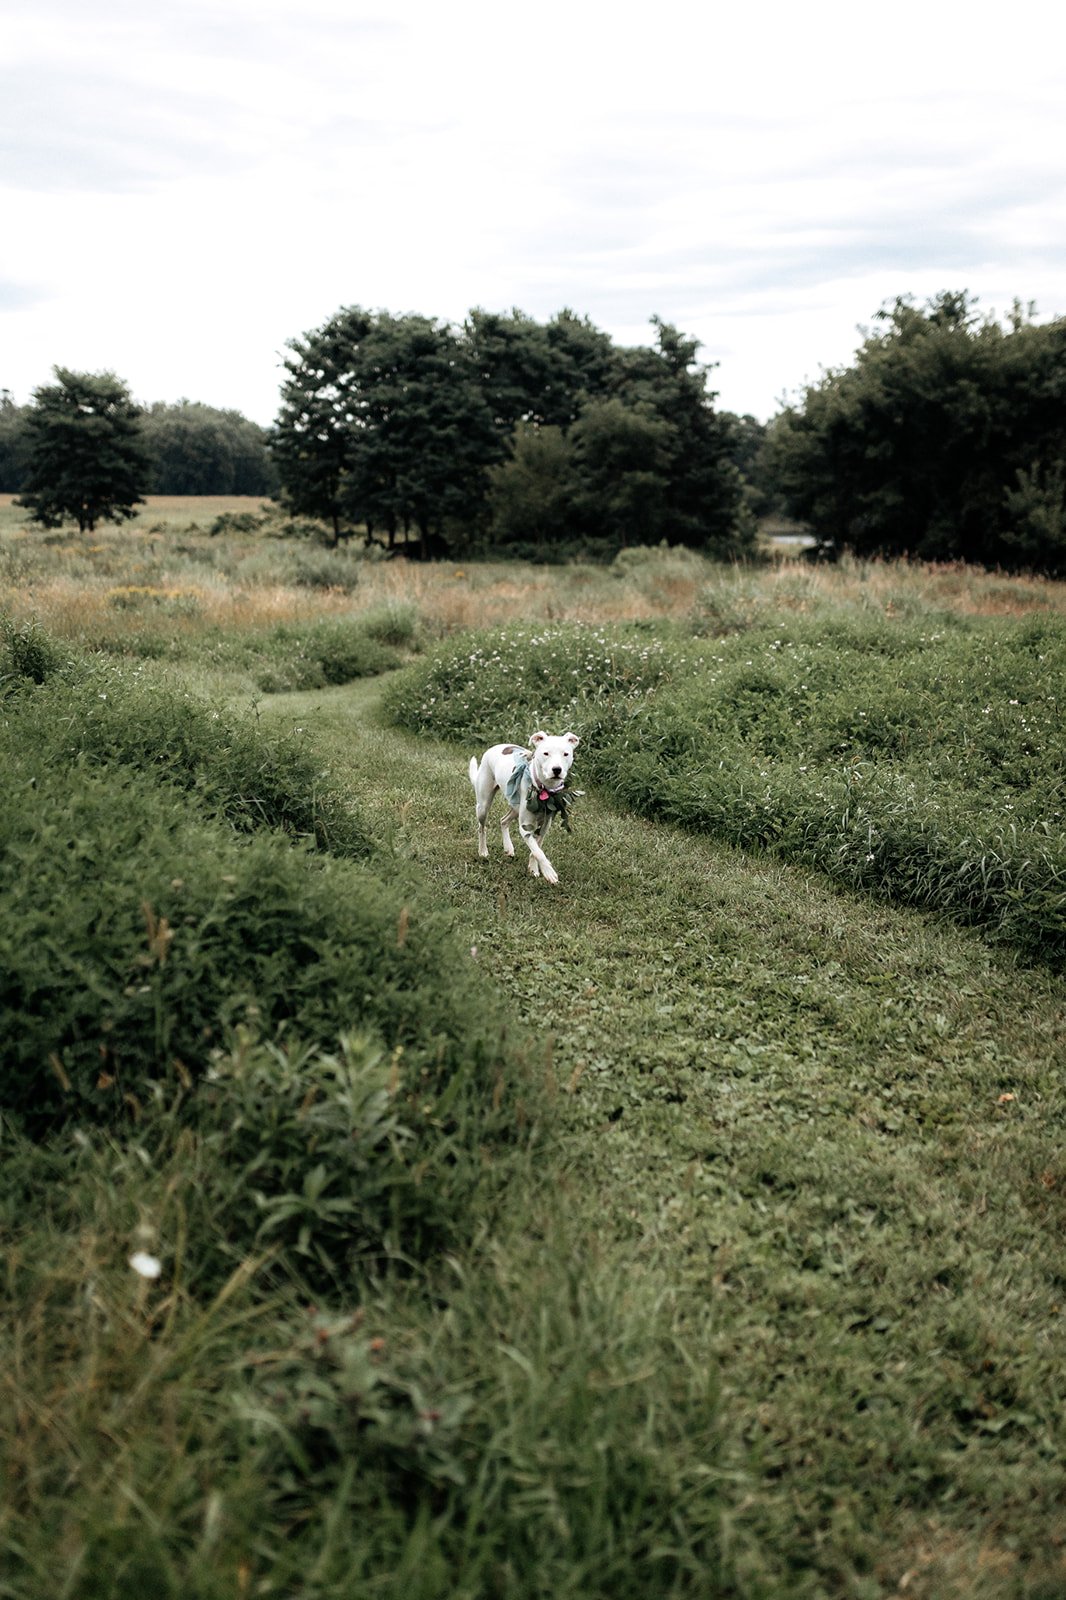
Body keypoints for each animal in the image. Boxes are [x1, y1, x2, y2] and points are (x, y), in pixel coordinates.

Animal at [467, 729, 582, 883]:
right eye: (546, 753)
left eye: (566, 754)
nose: (557, 769)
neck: (544, 789)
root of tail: (495, 747)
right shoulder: (525, 828)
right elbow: (538, 852)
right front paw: (549, 872)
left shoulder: (545, 826)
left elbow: (536, 849)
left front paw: (534, 869)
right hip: (483, 805)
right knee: (482, 828)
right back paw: (483, 851)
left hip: (516, 806)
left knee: (503, 821)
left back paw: (508, 847)